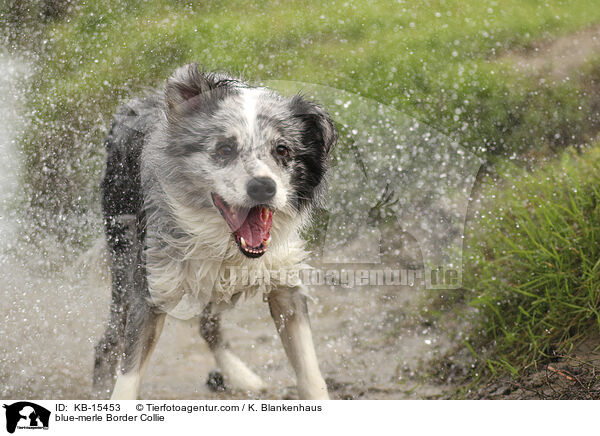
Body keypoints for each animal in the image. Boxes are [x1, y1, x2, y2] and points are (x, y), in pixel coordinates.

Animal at [94, 63, 338, 400]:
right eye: (225, 149)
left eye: (282, 150)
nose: (263, 186)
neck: (222, 241)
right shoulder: (152, 286)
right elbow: (129, 371)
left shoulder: (284, 282)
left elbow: (310, 373)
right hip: (122, 257)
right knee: (107, 342)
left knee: (207, 325)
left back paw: (241, 376)